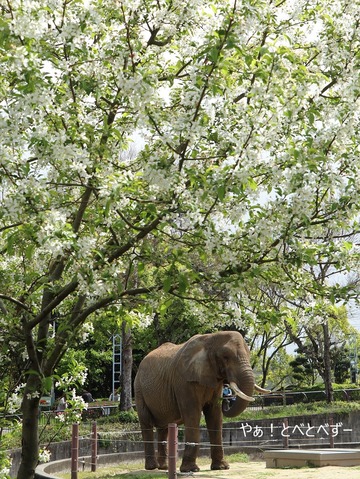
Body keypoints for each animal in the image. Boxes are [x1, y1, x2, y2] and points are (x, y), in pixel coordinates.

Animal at [134, 330, 268, 472]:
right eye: (225, 357)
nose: (226, 400)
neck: (210, 338)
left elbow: (215, 415)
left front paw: (221, 467)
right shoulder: (184, 381)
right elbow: (193, 415)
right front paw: (190, 469)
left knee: (164, 427)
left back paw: (163, 467)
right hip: (139, 389)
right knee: (147, 423)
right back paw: (151, 467)